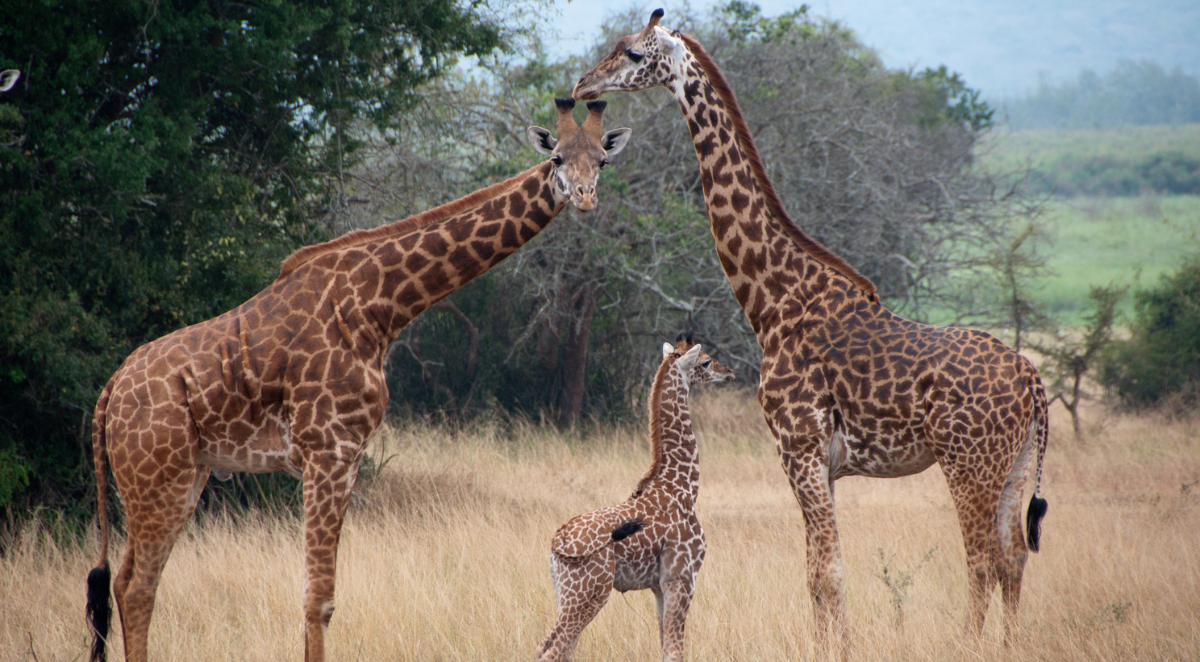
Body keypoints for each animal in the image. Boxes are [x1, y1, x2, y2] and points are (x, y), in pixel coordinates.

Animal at [84, 98, 633, 662]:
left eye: (602, 161)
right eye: (557, 159)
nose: (585, 198)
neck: (379, 307)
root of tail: (109, 393)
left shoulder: (344, 460)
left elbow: (320, 596)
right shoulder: (326, 451)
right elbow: (318, 600)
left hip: (185, 476)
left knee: (129, 581)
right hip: (158, 478)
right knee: (136, 585)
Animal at [535, 334, 735, 662]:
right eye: (705, 361)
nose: (729, 372)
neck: (683, 486)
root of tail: (557, 543)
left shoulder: (657, 586)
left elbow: (665, 646)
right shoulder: (681, 577)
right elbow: (674, 651)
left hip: (564, 594)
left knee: (549, 647)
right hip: (590, 594)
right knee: (554, 650)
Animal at [573, 10, 1050, 652]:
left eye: (629, 52)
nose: (582, 85)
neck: (774, 301)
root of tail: (1031, 381)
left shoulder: (797, 448)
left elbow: (827, 572)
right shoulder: (821, 462)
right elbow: (814, 571)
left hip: (968, 463)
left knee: (982, 561)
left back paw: (969, 647)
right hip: (1015, 464)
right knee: (1015, 557)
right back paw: (1007, 646)